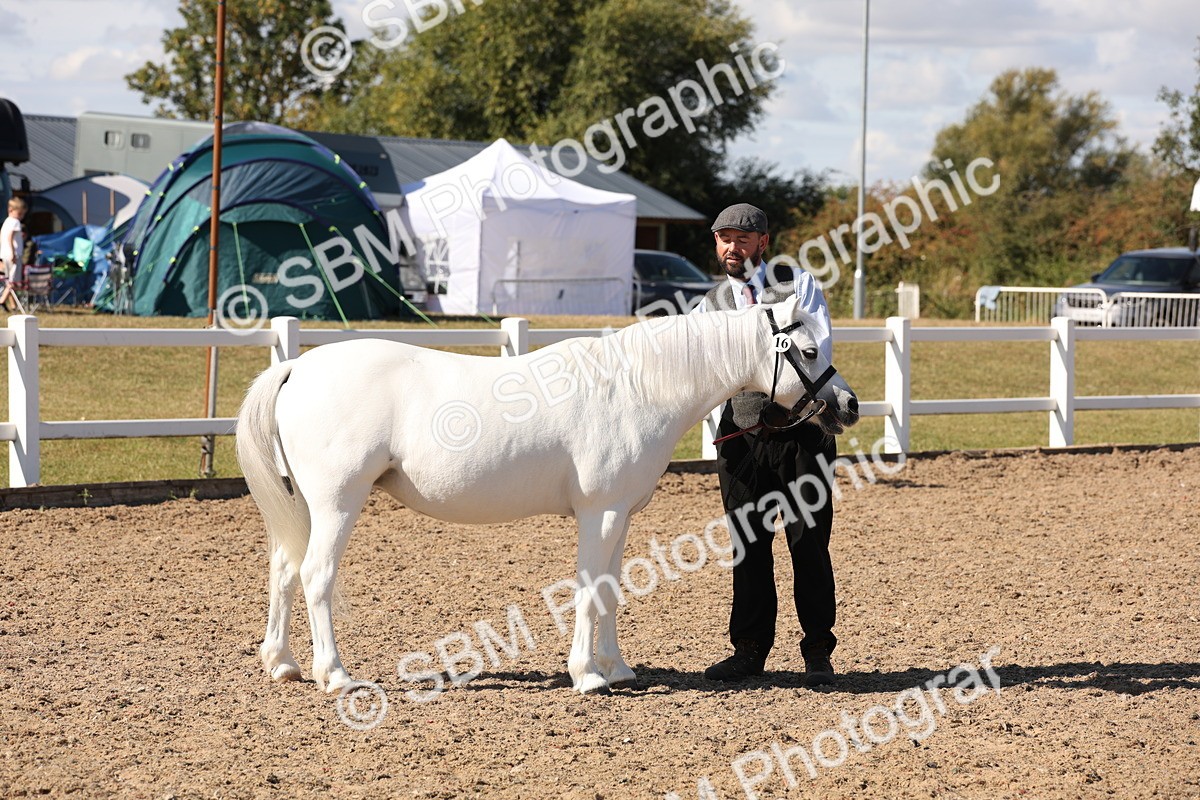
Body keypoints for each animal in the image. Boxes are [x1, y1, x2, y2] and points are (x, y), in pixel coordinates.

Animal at [236, 295, 860, 696]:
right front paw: (587, 676)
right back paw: (335, 675)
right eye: (807, 351)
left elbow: (610, 589)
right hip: (338, 503)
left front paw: (617, 669)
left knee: (283, 572)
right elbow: (589, 590)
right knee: (316, 577)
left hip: (305, 507)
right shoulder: (599, 513)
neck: (636, 387)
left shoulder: (619, 515)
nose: (849, 405)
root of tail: (296, 368)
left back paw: (283, 664)